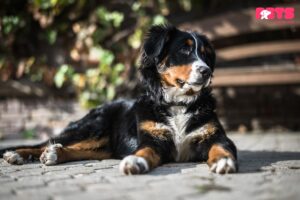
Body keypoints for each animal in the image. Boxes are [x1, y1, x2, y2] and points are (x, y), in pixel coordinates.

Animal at [0, 24, 239, 175]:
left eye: (206, 54)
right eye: (184, 49)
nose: (206, 71)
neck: (178, 104)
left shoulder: (215, 136)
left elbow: (222, 147)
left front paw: (223, 161)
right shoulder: (153, 139)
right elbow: (144, 151)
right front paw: (135, 161)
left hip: (103, 143)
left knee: (79, 150)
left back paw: (55, 154)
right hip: (92, 128)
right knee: (46, 143)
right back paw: (17, 154)